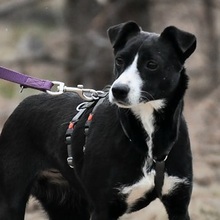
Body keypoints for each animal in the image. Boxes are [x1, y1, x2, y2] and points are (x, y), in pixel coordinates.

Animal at [0, 21, 196, 220]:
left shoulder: (179, 203)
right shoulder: (103, 207)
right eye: (119, 60)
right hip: (12, 199)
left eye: (152, 64)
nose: (118, 90)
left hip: (68, 205)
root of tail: (23, 104)